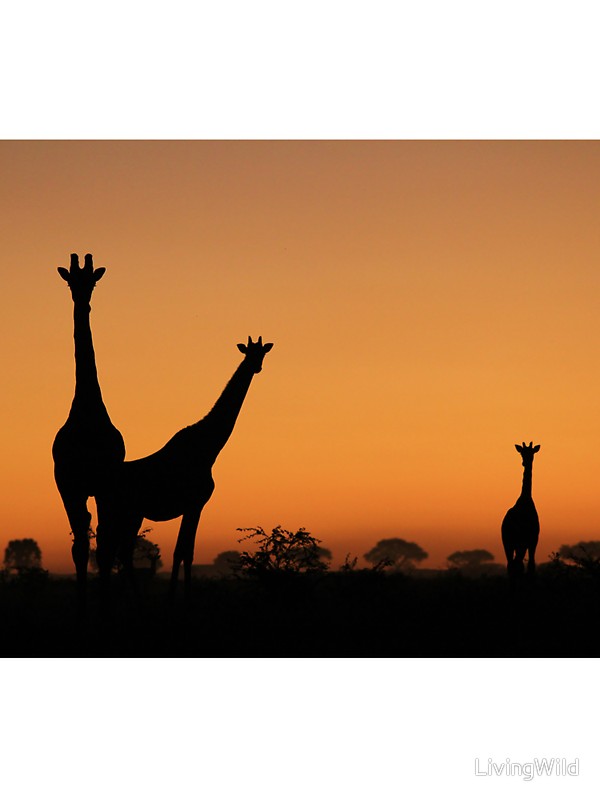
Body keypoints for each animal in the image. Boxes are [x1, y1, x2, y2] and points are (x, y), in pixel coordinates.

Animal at [98, 335, 273, 600]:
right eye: (248, 353)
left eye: (262, 353)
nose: (257, 367)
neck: (208, 449)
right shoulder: (195, 504)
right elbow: (184, 552)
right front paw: (180, 596)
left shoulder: (193, 506)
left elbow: (182, 551)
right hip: (122, 512)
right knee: (112, 552)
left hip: (130, 514)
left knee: (117, 552)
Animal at [501, 442, 540, 581]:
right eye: (521, 453)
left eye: (531, 453)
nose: (524, 462)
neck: (525, 499)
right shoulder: (531, 539)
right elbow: (529, 565)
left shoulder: (529, 540)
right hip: (514, 541)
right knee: (515, 564)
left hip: (510, 541)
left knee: (512, 564)